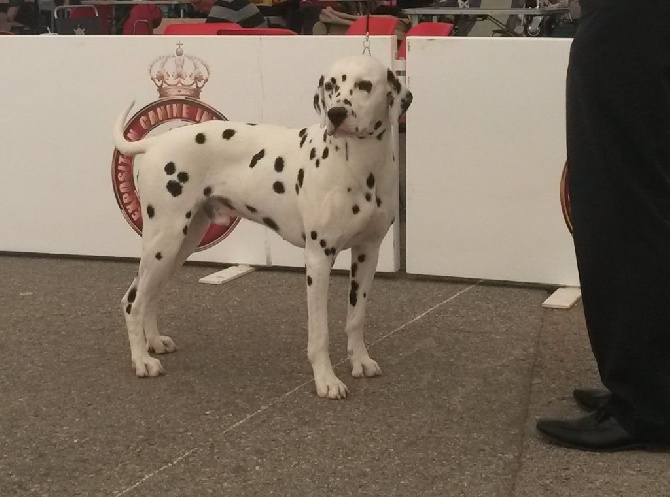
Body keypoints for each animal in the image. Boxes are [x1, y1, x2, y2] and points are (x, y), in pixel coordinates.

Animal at [113, 54, 412, 400]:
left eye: (365, 85)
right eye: (330, 85)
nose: (336, 114)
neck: (360, 167)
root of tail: (155, 142)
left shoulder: (368, 252)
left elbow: (356, 317)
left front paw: (360, 361)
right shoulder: (319, 258)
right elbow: (320, 332)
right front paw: (326, 380)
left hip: (180, 245)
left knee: (148, 295)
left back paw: (153, 343)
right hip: (165, 241)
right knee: (133, 301)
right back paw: (141, 361)